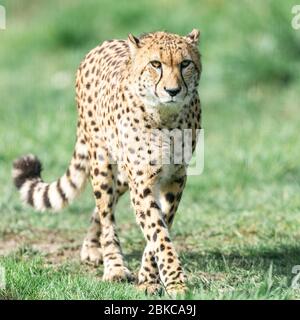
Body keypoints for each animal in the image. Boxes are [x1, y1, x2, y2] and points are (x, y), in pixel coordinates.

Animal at [12, 30, 203, 296]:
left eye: (185, 63)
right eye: (156, 64)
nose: (173, 90)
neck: (165, 118)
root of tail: (102, 45)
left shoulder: (175, 179)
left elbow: (159, 229)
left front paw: (150, 277)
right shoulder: (142, 180)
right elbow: (157, 232)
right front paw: (174, 282)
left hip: (121, 175)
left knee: (103, 208)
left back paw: (92, 247)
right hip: (103, 163)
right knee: (105, 212)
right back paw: (113, 266)